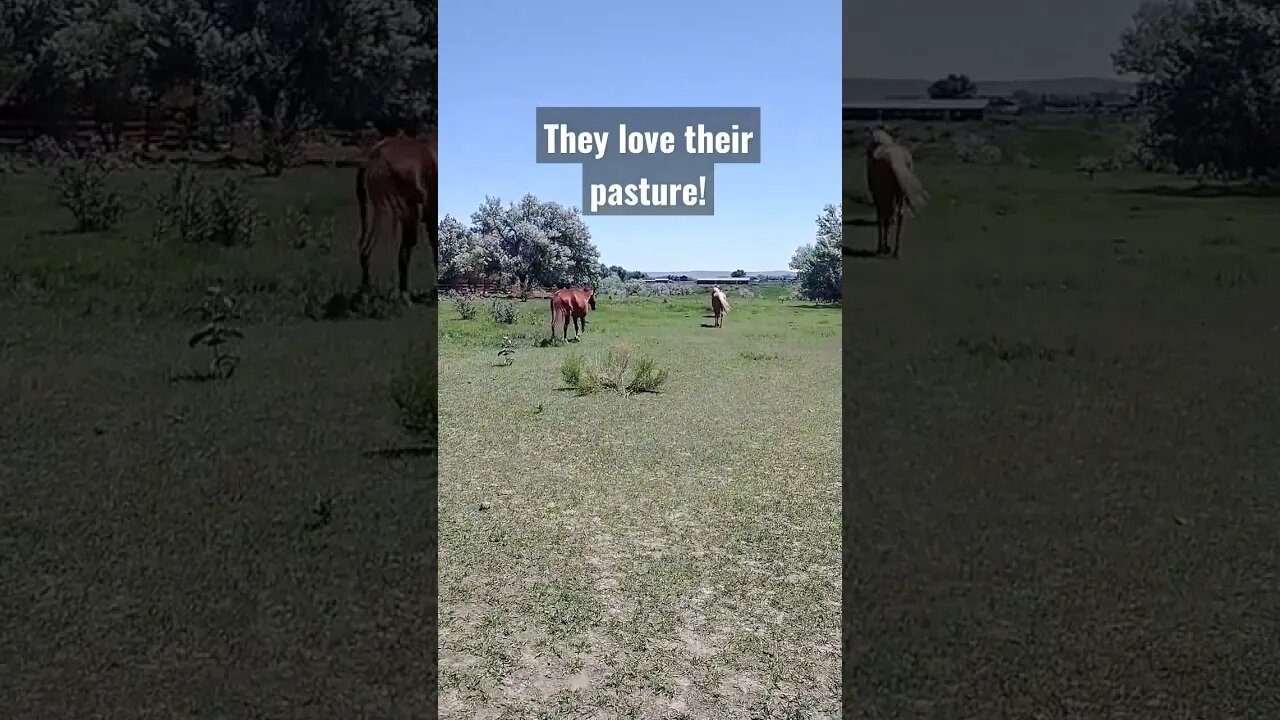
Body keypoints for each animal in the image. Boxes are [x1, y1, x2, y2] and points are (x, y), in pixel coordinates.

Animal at [355, 133, 440, 299]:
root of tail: (375, 156)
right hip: (394, 212)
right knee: (398, 251)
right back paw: (401, 295)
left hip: (376, 211)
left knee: (365, 249)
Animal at [865, 127, 926, 256]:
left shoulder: (878, 195)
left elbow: (882, 216)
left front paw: (882, 247)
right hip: (899, 194)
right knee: (899, 215)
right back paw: (896, 251)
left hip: (887, 193)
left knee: (888, 214)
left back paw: (886, 249)